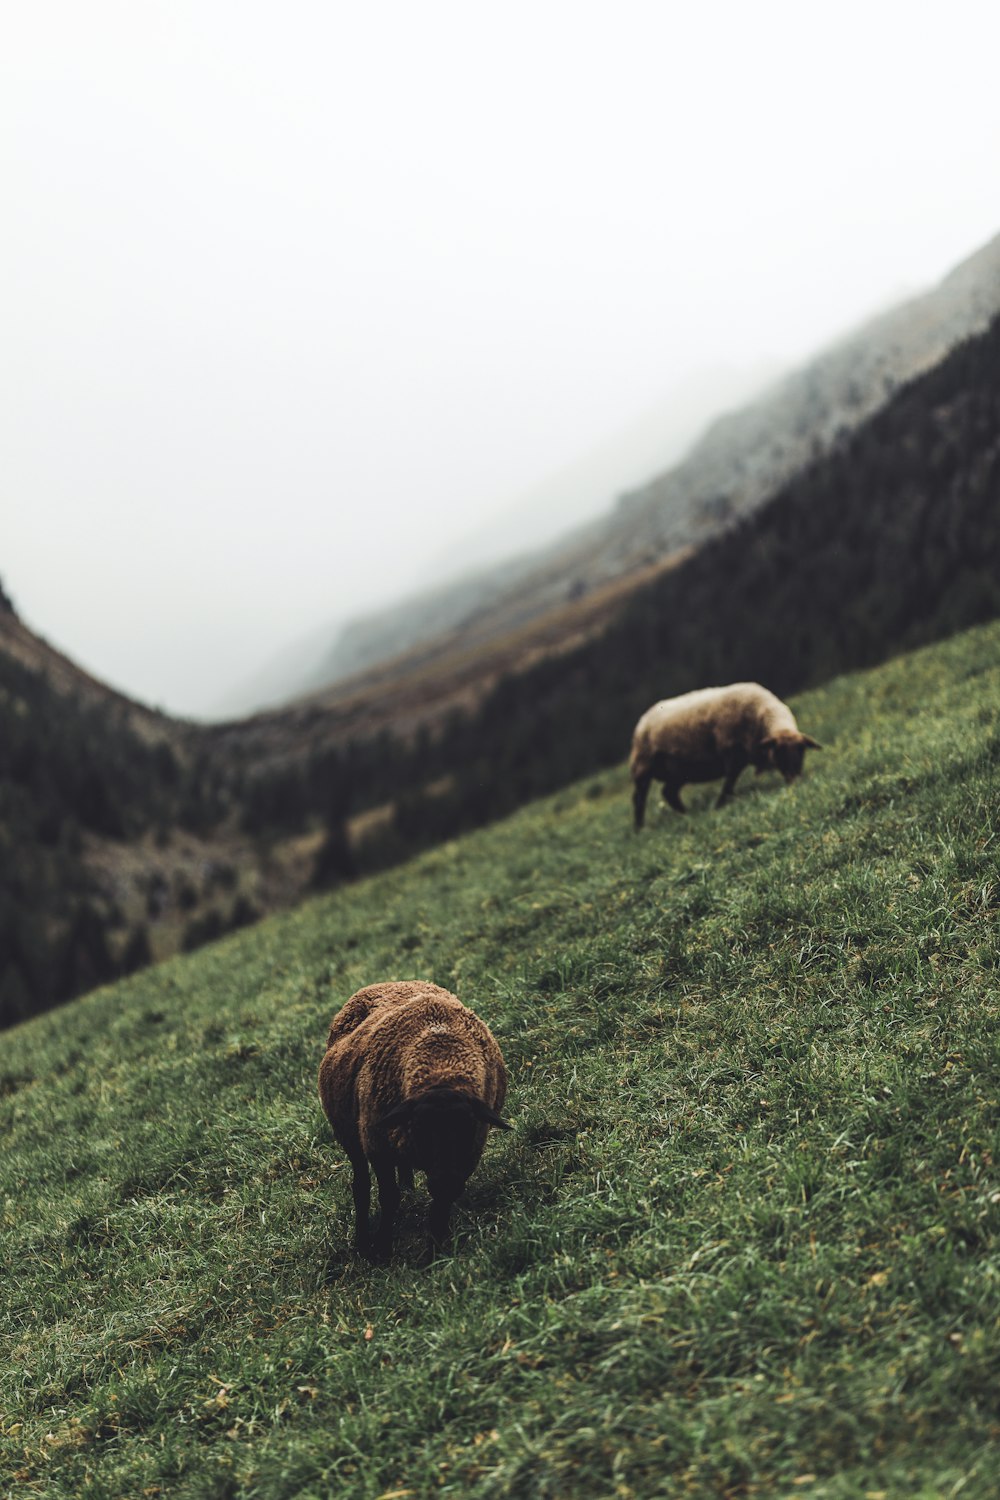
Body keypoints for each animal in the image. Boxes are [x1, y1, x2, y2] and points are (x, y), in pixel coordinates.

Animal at [319, 978, 512, 1260]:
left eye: (467, 1128)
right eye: (423, 1130)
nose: (444, 1180)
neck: (442, 1065)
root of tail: (387, 982)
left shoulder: (468, 1154)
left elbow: (442, 1201)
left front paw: (437, 1247)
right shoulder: (378, 1147)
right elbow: (389, 1197)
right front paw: (382, 1249)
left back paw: (409, 1188)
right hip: (350, 1135)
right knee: (361, 1186)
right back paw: (362, 1241)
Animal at [632, 684, 821, 834]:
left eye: (802, 751)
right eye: (779, 752)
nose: (794, 779)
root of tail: (642, 720)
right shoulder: (731, 752)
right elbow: (729, 782)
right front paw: (720, 805)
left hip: (678, 770)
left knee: (669, 792)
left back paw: (685, 814)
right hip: (643, 767)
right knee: (639, 798)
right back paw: (639, 828)